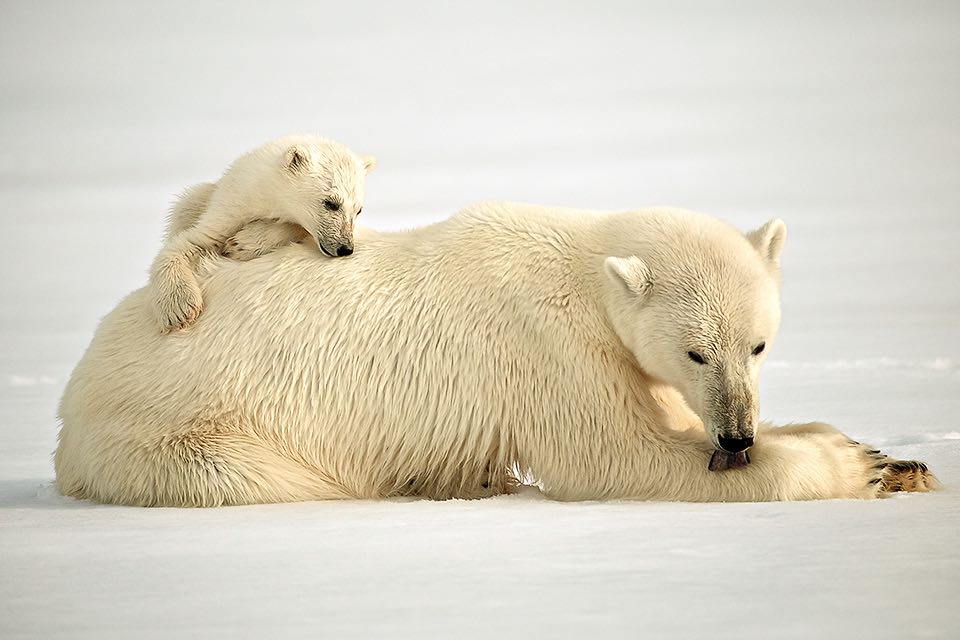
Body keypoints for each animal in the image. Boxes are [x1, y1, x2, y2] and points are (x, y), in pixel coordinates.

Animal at [54, 204, 936, 504]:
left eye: (757, 343)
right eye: (694, 352)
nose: (737, 435)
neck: (579, 266)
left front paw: (892, 457)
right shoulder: (549, 350)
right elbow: (622, 457)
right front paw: (850, 468)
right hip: (175, 432)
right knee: (269, 478)